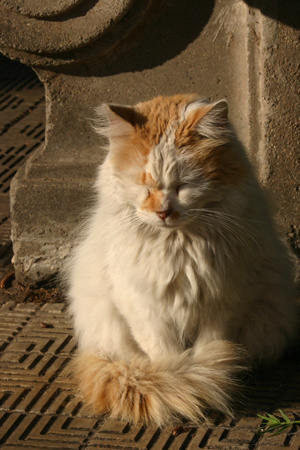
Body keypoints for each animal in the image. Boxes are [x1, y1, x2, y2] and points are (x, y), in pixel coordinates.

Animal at [67, 94, 298, 426]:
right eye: (145, 187)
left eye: (183, 187)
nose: (164, 212)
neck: (178, 245)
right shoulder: (143, 305)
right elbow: (167, 355)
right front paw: (181, 379)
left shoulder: (226, 301)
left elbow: (210, 346)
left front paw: (210, 375)